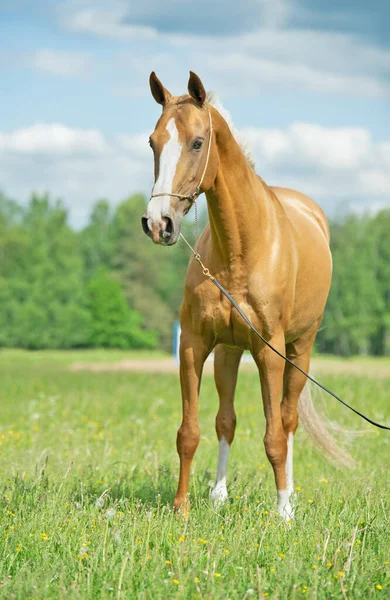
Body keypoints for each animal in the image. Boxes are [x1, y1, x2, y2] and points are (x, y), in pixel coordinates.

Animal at [141, 71, 354, 520]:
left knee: (288, 421)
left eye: (197, 142)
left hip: (299, 350)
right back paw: (219, 495)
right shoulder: (194, 345)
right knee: (226, 420)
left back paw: (289, 495)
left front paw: (283, 512)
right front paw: (182, 508)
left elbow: (274, 435)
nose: (158, 223)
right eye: (153, 142)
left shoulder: (270, 352)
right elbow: (190, 432)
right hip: (228, 352)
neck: (241, 248)